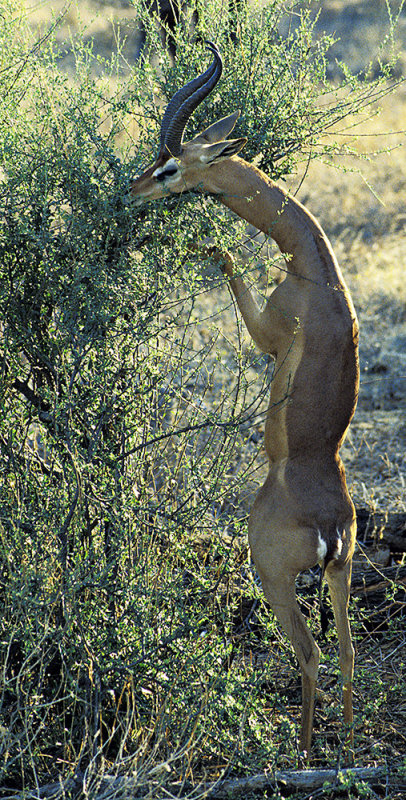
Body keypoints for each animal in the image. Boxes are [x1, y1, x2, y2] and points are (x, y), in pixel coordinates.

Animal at [131, 42, 358, 756]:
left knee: (311, 654)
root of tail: (328, 526)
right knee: (347, 652)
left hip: (276, 576)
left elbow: (231, 264)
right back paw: (343, 742)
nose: (133, 189)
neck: (316, 271)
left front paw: (211, 244)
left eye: (171, 165)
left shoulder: (267, 333)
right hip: (340, 573)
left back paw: (303, 751)